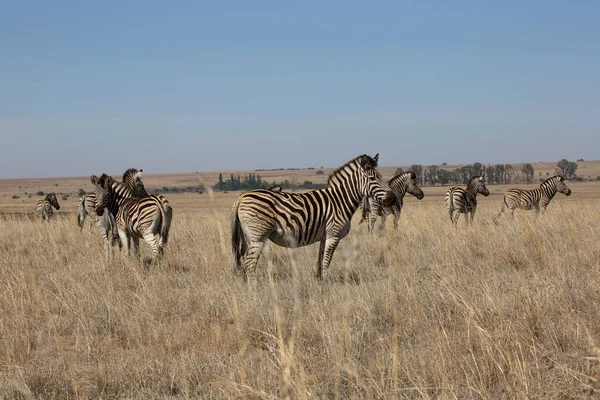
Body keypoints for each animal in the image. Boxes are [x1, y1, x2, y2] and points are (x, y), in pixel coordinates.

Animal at [232, 154, 396, 284]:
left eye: (381, 177)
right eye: (372, 178)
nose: (393, 198)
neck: (340, 200)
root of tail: (242, 196)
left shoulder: (324, 236)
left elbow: (320, 261)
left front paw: (320, 281)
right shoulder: (333, 235)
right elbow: (327, 261)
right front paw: (327, 283)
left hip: (249, 236)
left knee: (245, 261)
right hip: (258, 236)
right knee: (249, 264)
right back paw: (254, 290)